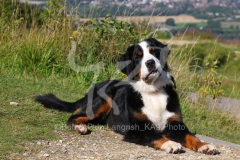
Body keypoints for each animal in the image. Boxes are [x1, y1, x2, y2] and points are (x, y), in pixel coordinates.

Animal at [35, 38, 218, 154]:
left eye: (154, 52)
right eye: (138, 57)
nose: (150, 63)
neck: (152, 91)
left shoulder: (175, 123)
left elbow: (190, 136)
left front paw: (205, 146)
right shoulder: (137, 128)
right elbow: (155, 135)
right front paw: (170, 144)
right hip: (103, 99)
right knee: (74, 116)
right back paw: (80, 127)